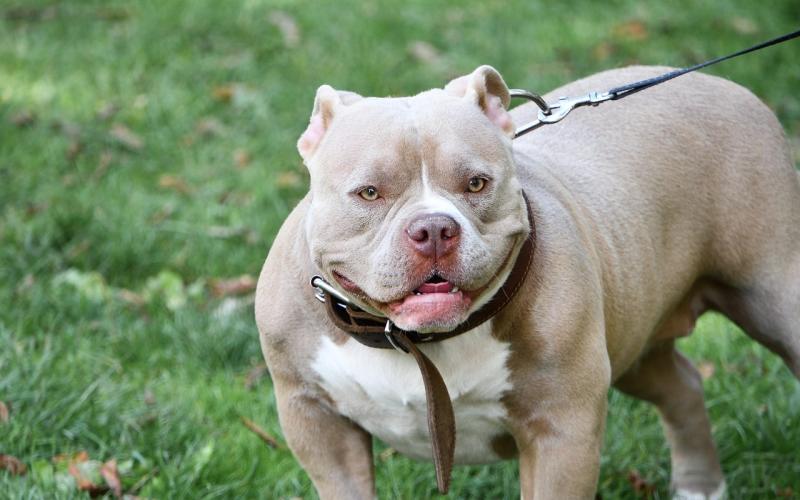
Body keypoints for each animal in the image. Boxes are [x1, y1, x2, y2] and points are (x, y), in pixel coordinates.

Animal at [255, 65, 800, 499]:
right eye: (369, 192)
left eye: (477, 183)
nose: (434, 230)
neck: (416, 340)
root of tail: (720, 82)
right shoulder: (315, 420)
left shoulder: (562, 432)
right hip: (633, 337)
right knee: (683, 384)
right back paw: (699, 487)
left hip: (774, 298)